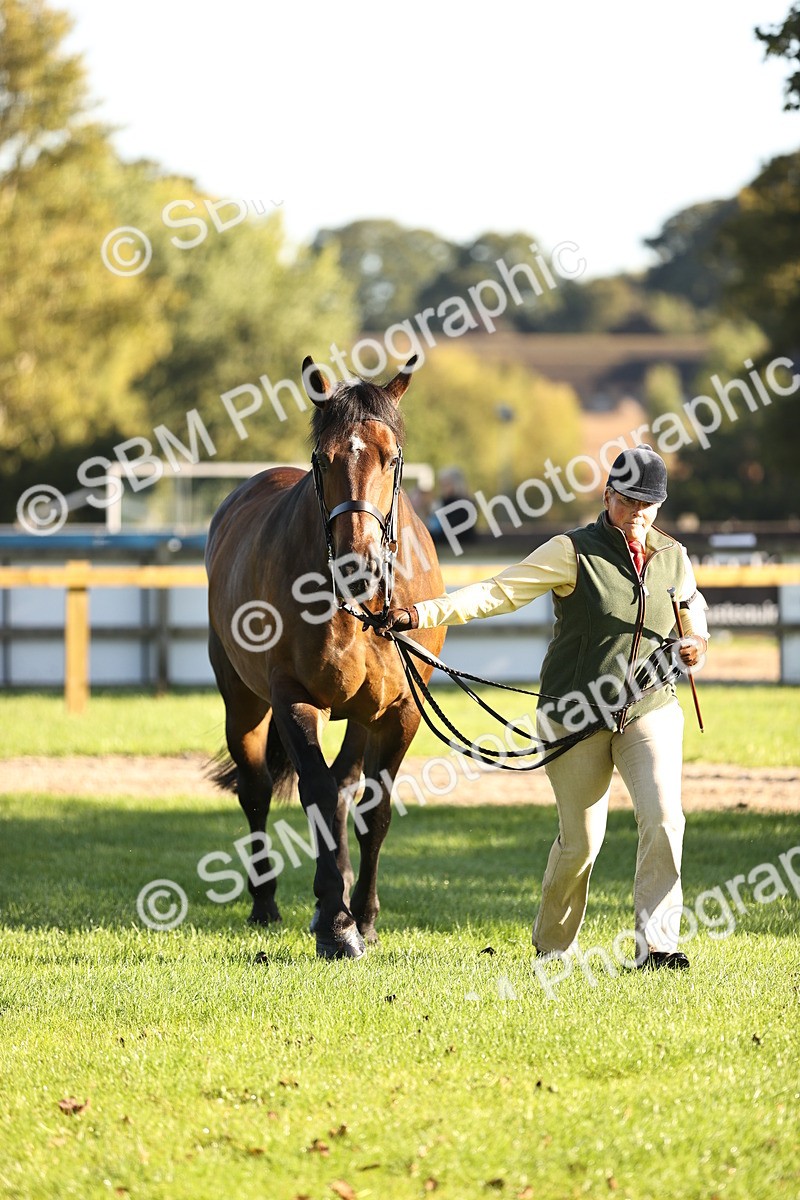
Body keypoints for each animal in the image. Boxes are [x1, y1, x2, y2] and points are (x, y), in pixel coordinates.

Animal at [205, 355, 446, 958]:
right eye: (322, 458)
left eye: (392, 457)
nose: (359, 563)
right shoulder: (295, 698)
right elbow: (312, 792)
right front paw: (337, 926)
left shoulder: (399, 711)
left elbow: (371, 810)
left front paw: (362, 917)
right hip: (242, 702)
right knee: (256, 791)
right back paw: (266, 904)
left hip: (361, 714)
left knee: (342, 789)